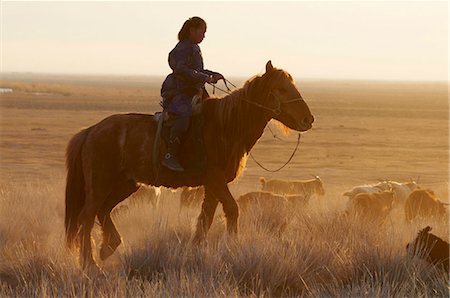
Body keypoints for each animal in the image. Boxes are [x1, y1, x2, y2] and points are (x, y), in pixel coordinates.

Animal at [65, 60, 314, 270]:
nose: (308, 119)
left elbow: (206, 218)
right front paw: (232, 247)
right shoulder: (216, 180)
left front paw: (196, 251)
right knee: (87, 216)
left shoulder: (212, 186)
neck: (227, 126)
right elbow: (232, 210)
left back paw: (108, 247)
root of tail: (91, 131)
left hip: (125, 184)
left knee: (103, 210)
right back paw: (90, 264)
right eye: (281, 89)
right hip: (101, 183)